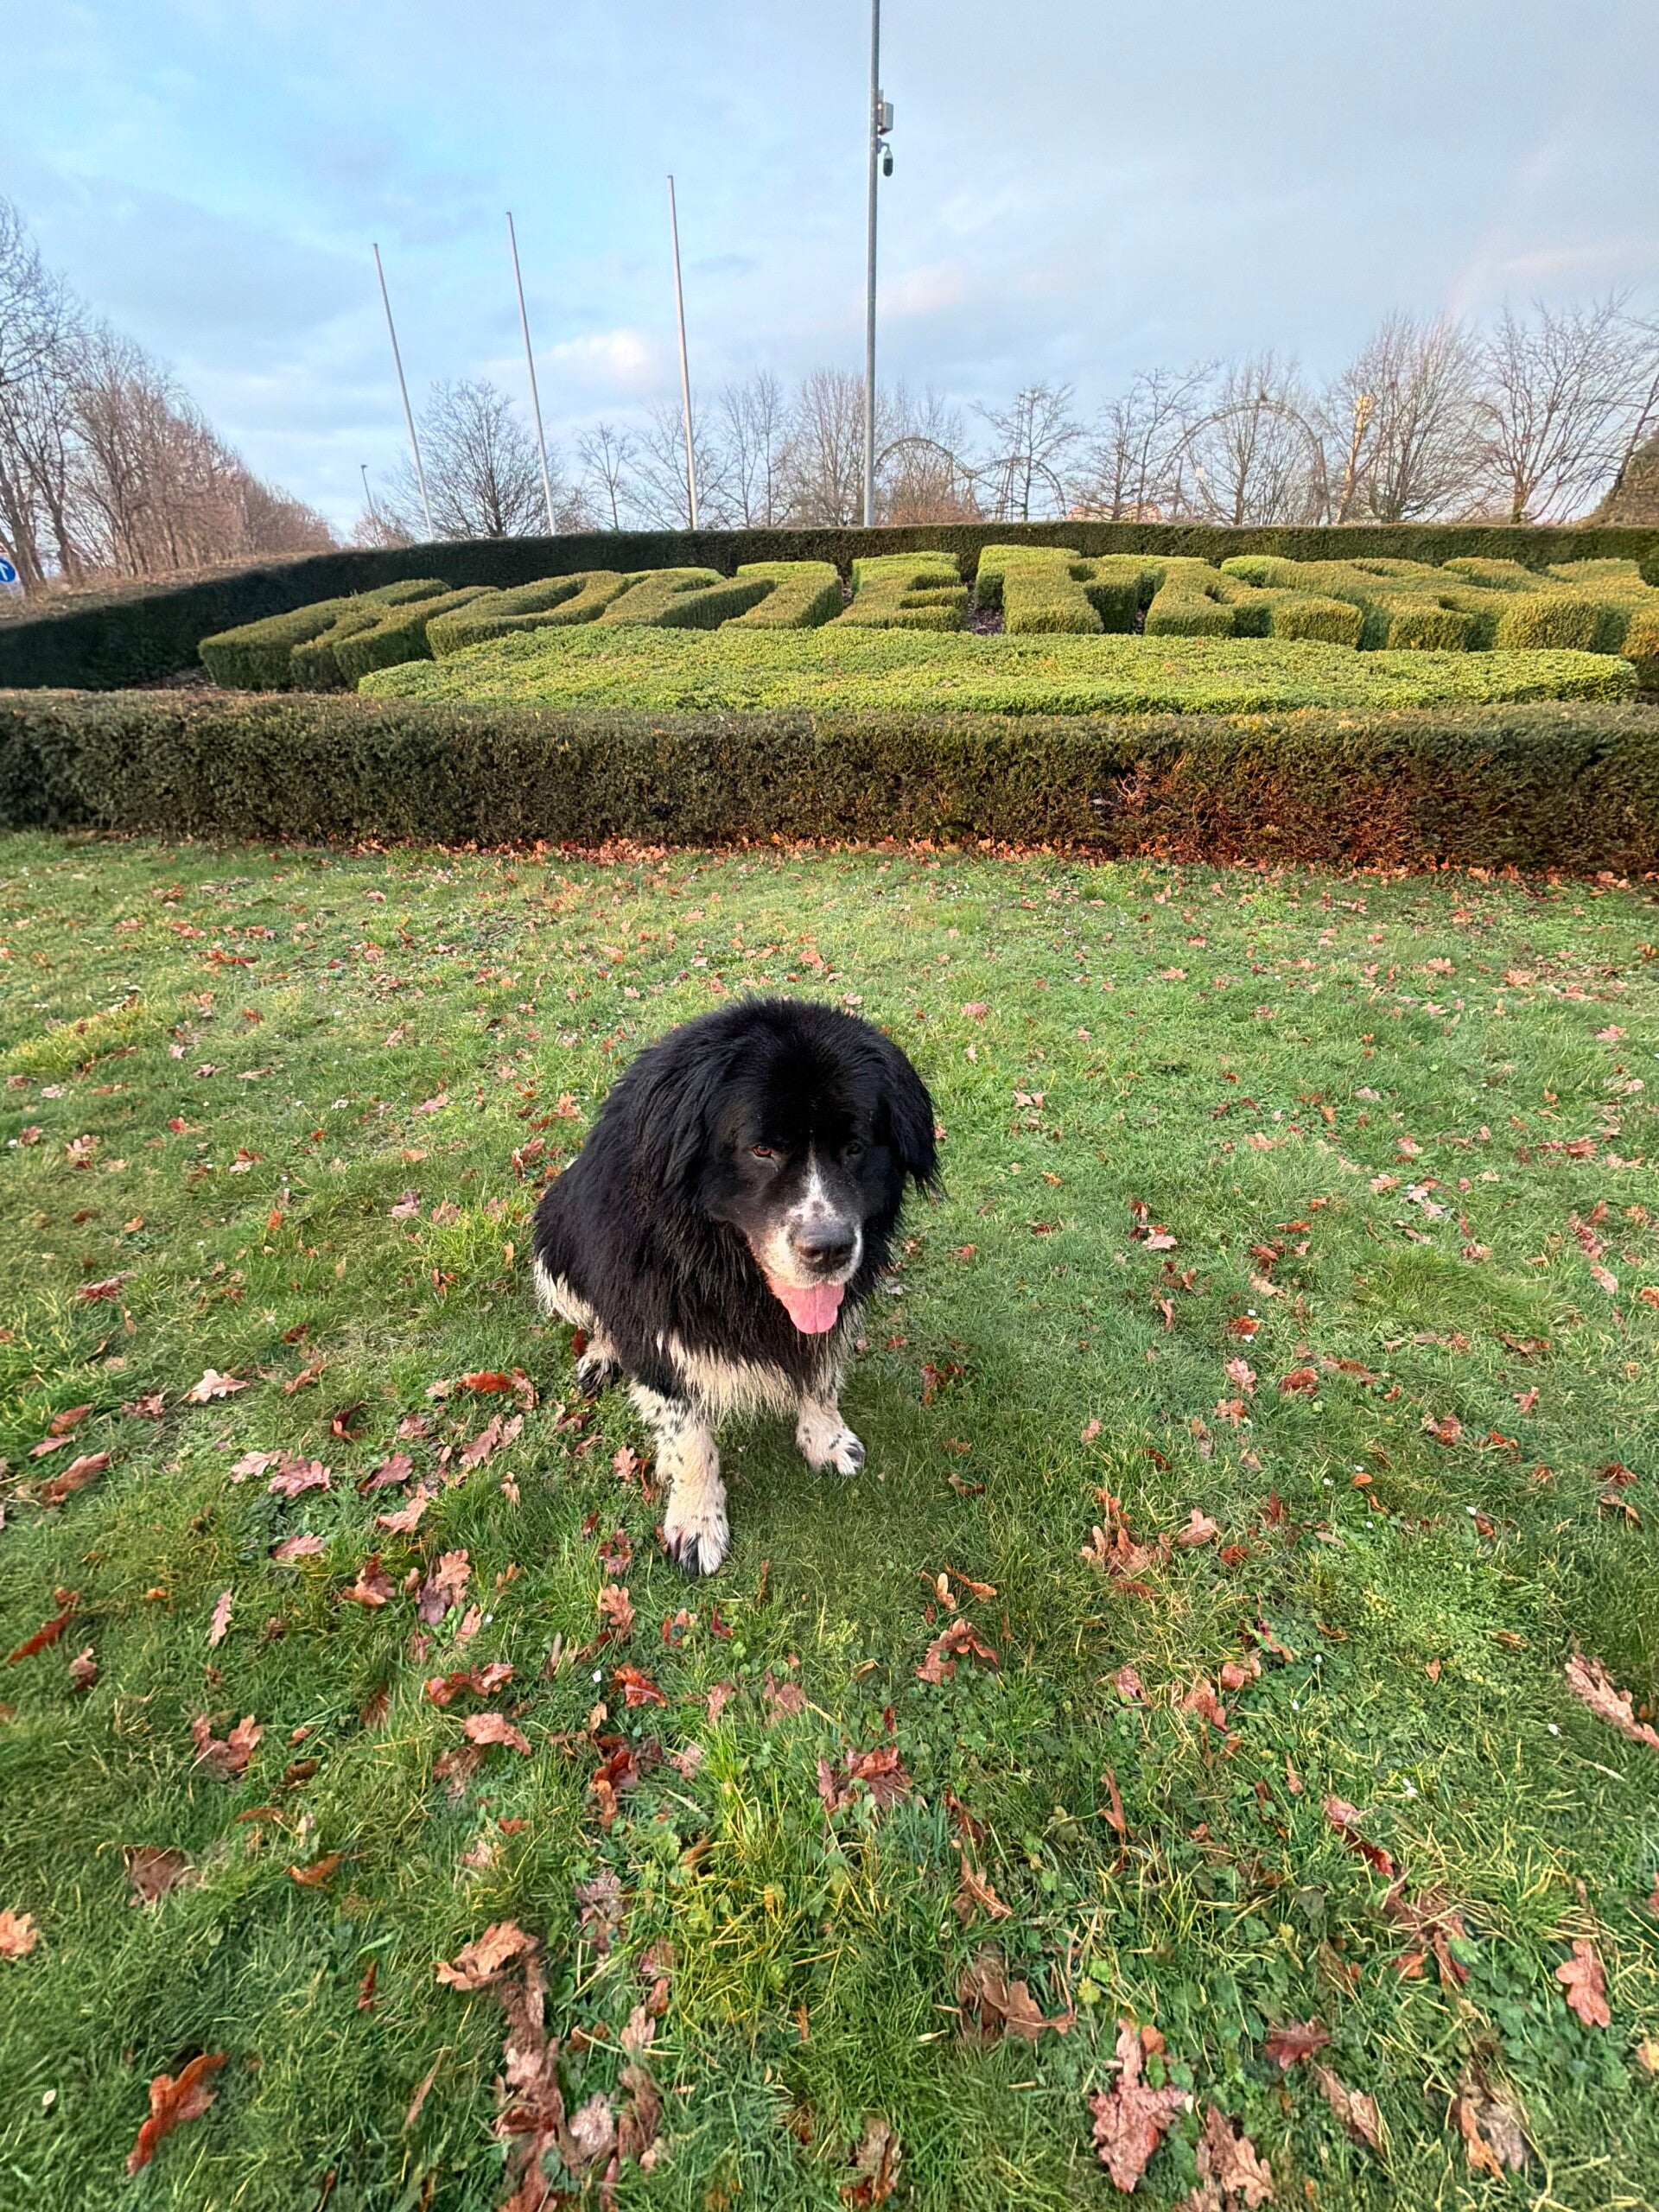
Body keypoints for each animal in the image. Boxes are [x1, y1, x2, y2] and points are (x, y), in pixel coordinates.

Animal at [531, 997, 937, 1573]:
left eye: (856, 1147)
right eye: (761, 1150)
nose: (829, 1248)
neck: (722, 1266)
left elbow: (820, 1371)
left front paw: (826, 1439)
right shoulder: (656, 1323)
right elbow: (688, 1437)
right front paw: (697, 1521)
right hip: (553, 1239)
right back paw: (603, 1355)